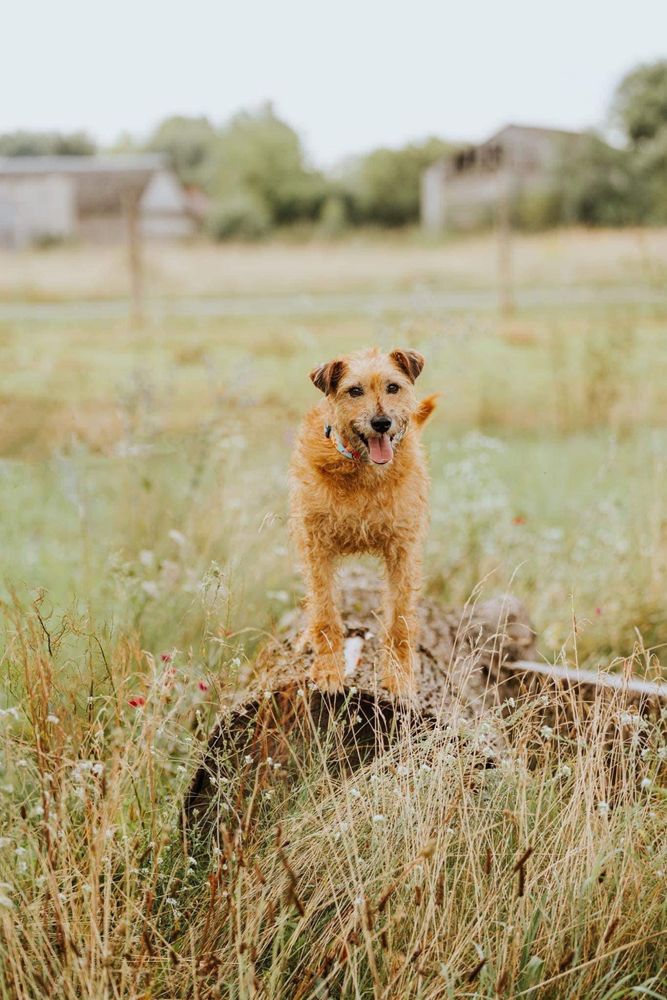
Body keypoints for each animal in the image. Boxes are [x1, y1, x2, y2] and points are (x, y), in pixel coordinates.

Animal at [288, 344, 438, 696]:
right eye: (354, 391)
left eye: (393, 387)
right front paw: (329, 670)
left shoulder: (402, 550)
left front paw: (399, 675)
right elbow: (324, 610)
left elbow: (400, 618)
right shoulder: (317, 547)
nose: (381, 422)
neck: (363, 472)